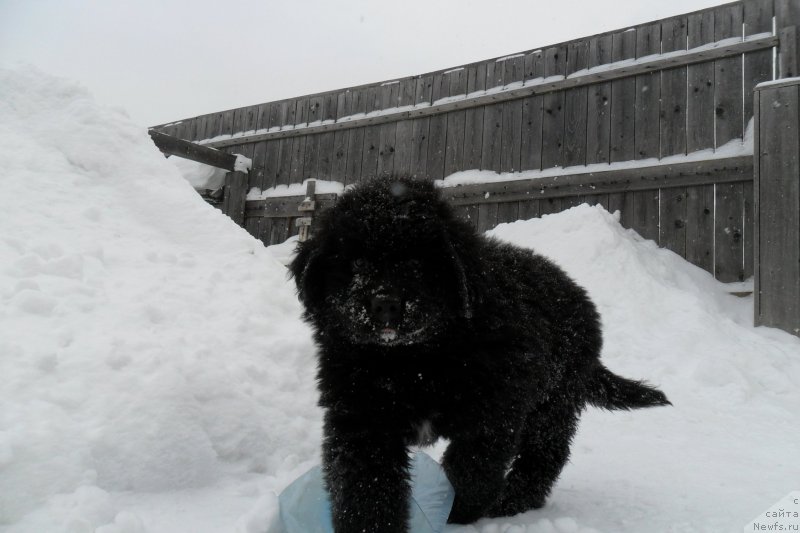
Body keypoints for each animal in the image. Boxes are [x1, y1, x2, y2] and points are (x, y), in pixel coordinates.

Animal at [288, 179, 668, 532]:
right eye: (355, 262)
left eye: (416, 262)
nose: (384, 303)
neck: (413, 360)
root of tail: (580, 296)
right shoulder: (362, 414)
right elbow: (366, 484)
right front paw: (369, 525)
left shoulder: (495, 408)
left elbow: (473, 469)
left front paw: (457, 510)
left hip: (555, 400)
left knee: (545, 453)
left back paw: (512, 501)